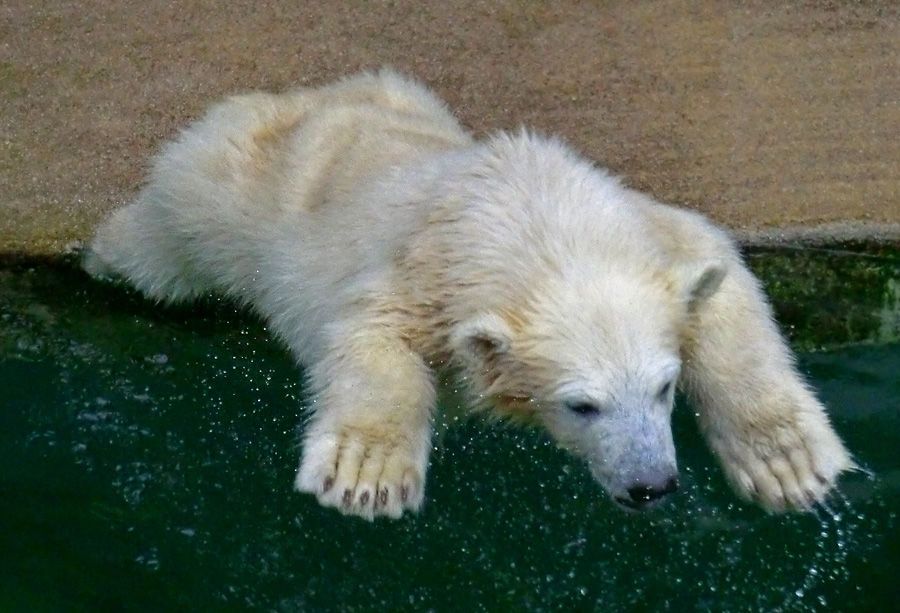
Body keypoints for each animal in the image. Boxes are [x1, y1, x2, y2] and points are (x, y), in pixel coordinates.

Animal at [82, 71, 852, 520]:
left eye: (665, 387)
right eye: (581, 404)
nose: (651, 486)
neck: (535, 216)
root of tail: (304, 96)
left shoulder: (648, 230)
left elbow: (721, 280)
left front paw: (788, 465)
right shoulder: (426, 272)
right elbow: (369, 333)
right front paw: (367, 477)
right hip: (227, 196)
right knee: (161, 246)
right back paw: (101, 255)